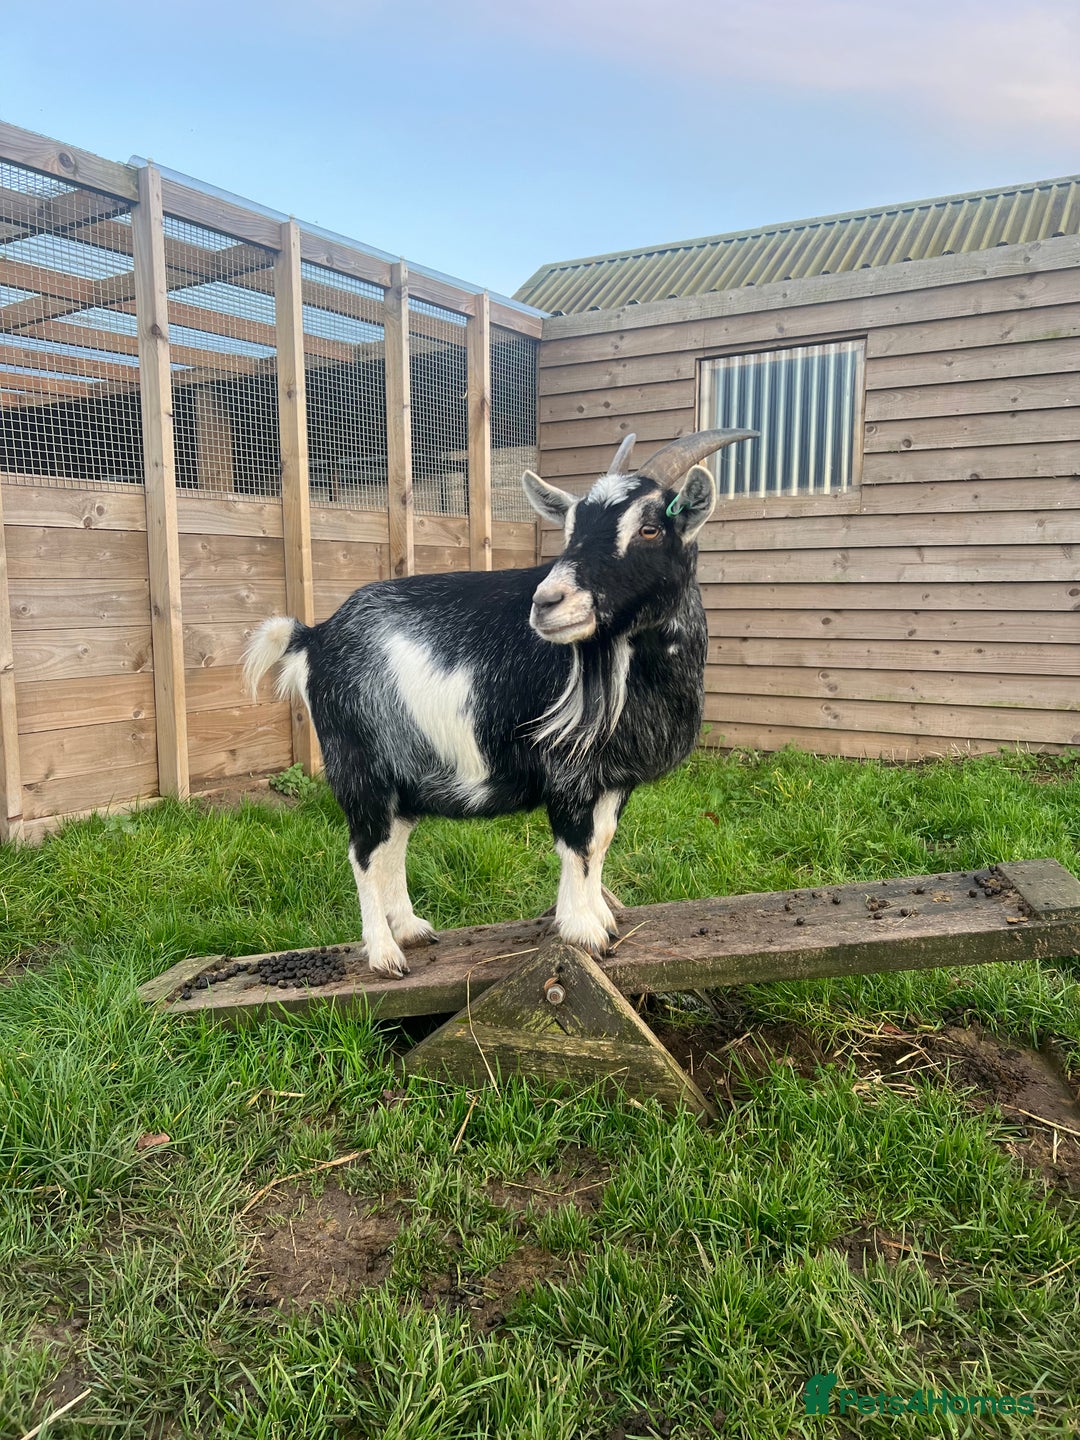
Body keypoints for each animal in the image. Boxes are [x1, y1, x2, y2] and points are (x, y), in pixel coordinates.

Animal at [243, 428, 755, 978]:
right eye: (571, 528)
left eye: (650, 528)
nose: (547, 602)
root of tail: (314, 637)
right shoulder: (567, 770)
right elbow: (577, 846)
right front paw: (584, 931)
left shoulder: (616, 776)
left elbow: (601, 841)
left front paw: (602, 918)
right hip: (358, 764)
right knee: (363, 851)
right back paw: (384, 953)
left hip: (406, 773)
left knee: (392, 844)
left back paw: (411, 929)